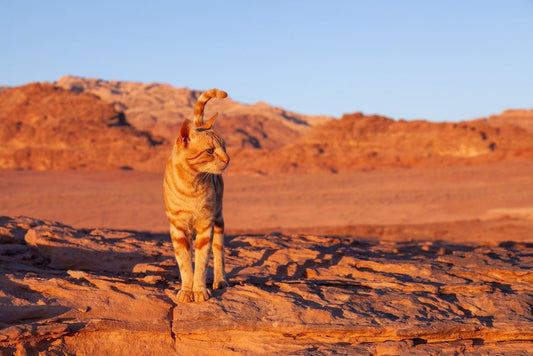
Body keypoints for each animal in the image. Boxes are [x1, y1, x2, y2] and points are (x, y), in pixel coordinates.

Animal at [162, 87, 229, 302]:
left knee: (219, 252)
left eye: (224, 147)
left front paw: (199, 290)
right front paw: (186, 290)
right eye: (210, 150)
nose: (228, 159)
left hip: (219, 218)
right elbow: (184, 262)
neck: (192, 184)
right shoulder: (177, 228)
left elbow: (201, 261)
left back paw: (220, 280)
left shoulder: (205, 224)